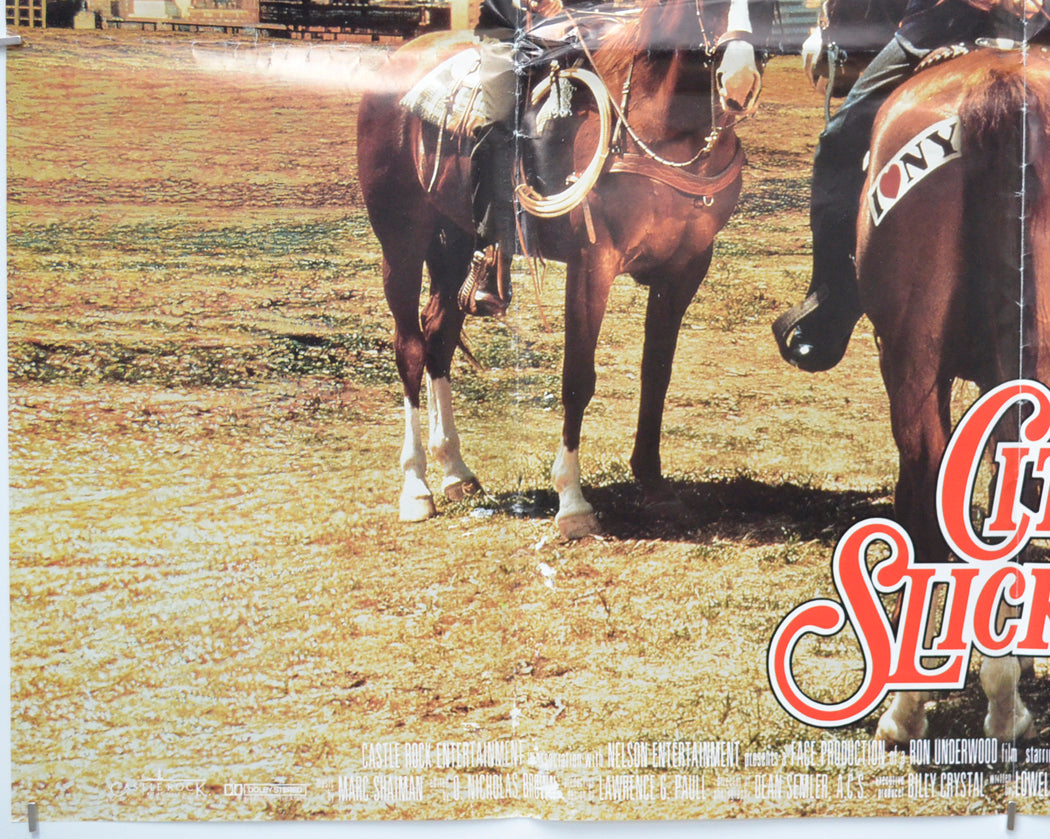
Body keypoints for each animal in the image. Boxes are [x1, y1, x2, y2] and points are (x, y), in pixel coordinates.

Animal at [356, 0, 776, 537]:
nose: (739, 81)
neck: (661, 127)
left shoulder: (684, 270)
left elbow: (656, 373)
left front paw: (653, 482)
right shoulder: (592, 266)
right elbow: (578, 378)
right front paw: (573, 503)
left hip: (453, 240)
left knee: (439, 337)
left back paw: (455, 471)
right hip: (402, 239)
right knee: (409, 347)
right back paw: (416, 487)